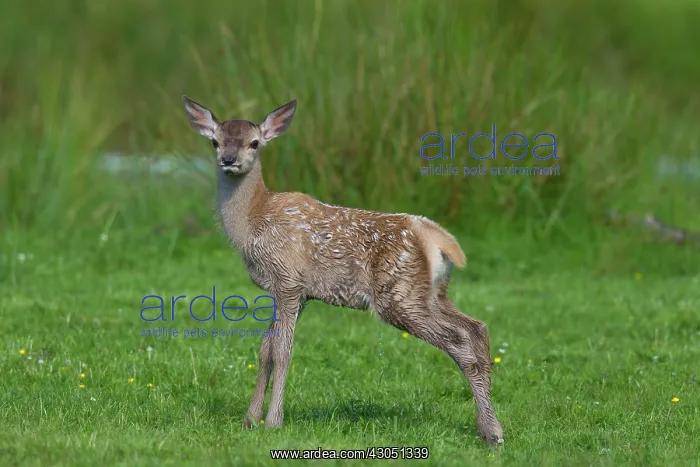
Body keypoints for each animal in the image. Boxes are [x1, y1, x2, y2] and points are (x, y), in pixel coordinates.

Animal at [181, 95, 504, 446]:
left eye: (254, 143)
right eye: (215, 141)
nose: (228, 159)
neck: (254, 221)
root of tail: (439, 240)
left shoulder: (288, 281)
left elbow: (282, 352)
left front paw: (273, 422)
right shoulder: (297, 292)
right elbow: (265, 349)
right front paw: (250, 419)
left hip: (398, 295)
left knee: (459, 340)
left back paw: (493, 433)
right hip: (431, 293)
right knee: (477, 328)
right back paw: (489, 428)